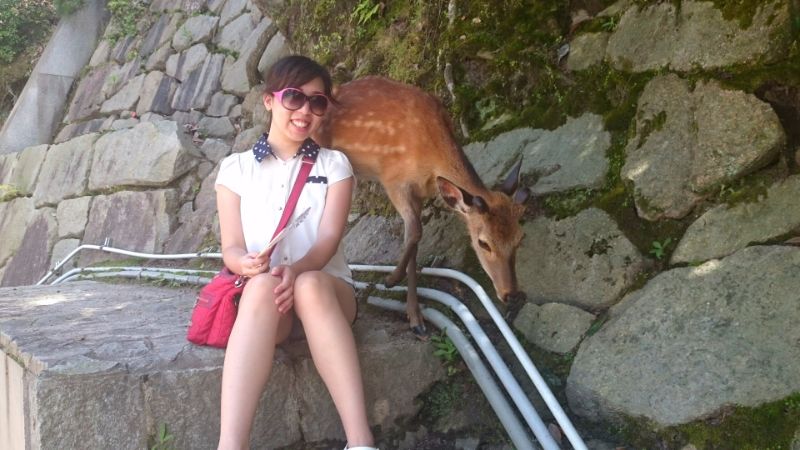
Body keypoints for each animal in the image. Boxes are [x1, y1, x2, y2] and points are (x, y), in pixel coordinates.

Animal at [315, 76, 530, 337]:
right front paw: (390, 280)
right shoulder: (393, 180)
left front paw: (416, 318)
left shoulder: (418, 194)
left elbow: (415, 241)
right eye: (483, 243)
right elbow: (416, 231)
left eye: (520, 238)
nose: (511, 294)